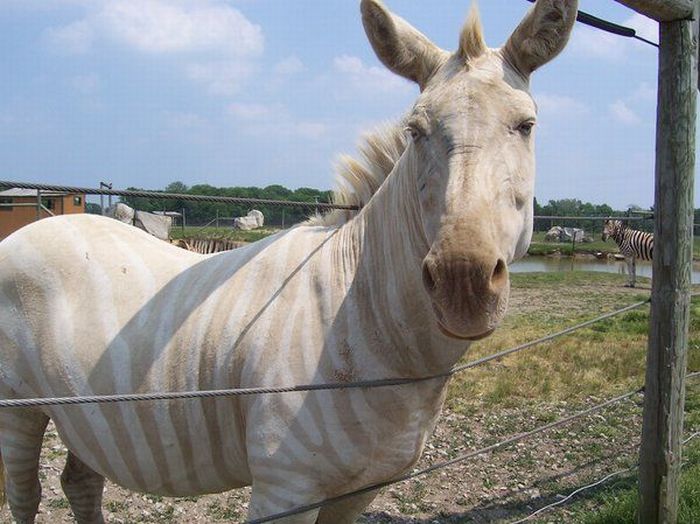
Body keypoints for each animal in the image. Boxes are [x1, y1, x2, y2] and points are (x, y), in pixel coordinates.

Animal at [0, 2, 576, 520]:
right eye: (416, 131)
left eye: (526, 125)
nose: (462, 283)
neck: (365, 327)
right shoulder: (286, 488)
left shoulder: (360, 489)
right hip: (17, 412)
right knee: (26, 496)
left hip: (86, 418)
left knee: (81, 483)